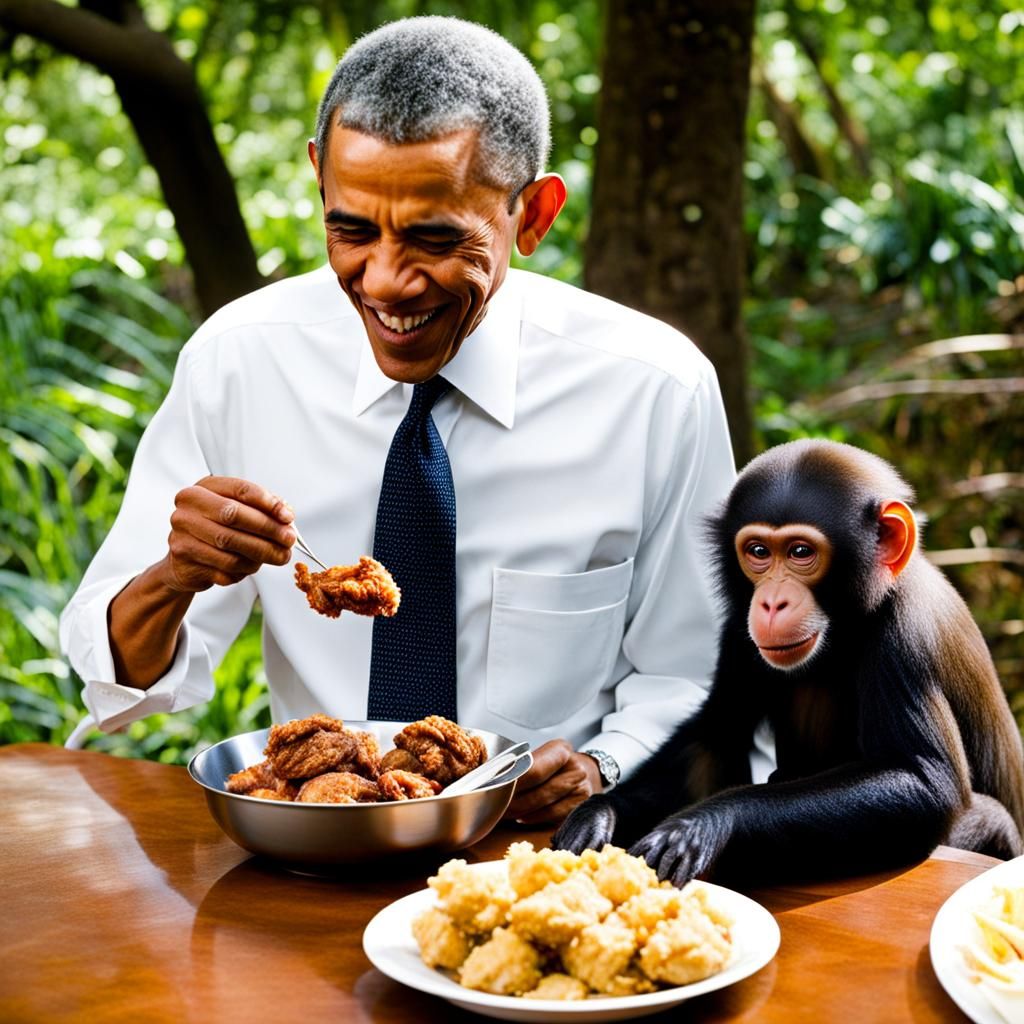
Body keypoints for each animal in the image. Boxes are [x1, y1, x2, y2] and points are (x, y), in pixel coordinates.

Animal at [553, 439, 1024, 885]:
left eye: (800, 552)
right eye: (759, 551)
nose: (772, 602)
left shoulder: (907, 634)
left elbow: (922, 781)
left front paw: (702, 823)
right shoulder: (738, 627)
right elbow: (714, 732)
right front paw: (601, 810)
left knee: (990, 817)